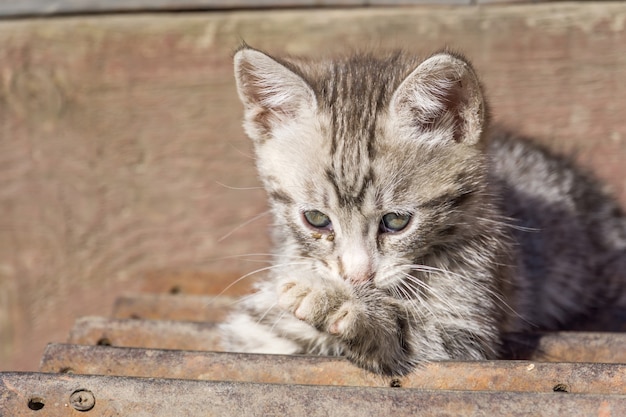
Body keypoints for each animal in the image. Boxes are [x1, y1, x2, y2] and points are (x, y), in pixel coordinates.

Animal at [219, 44, 624, 374]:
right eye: (316, 219)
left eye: (396, 221)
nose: (357, 278)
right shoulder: (256, 327)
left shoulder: (468, 330)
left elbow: (413, 335)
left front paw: (340, 304)